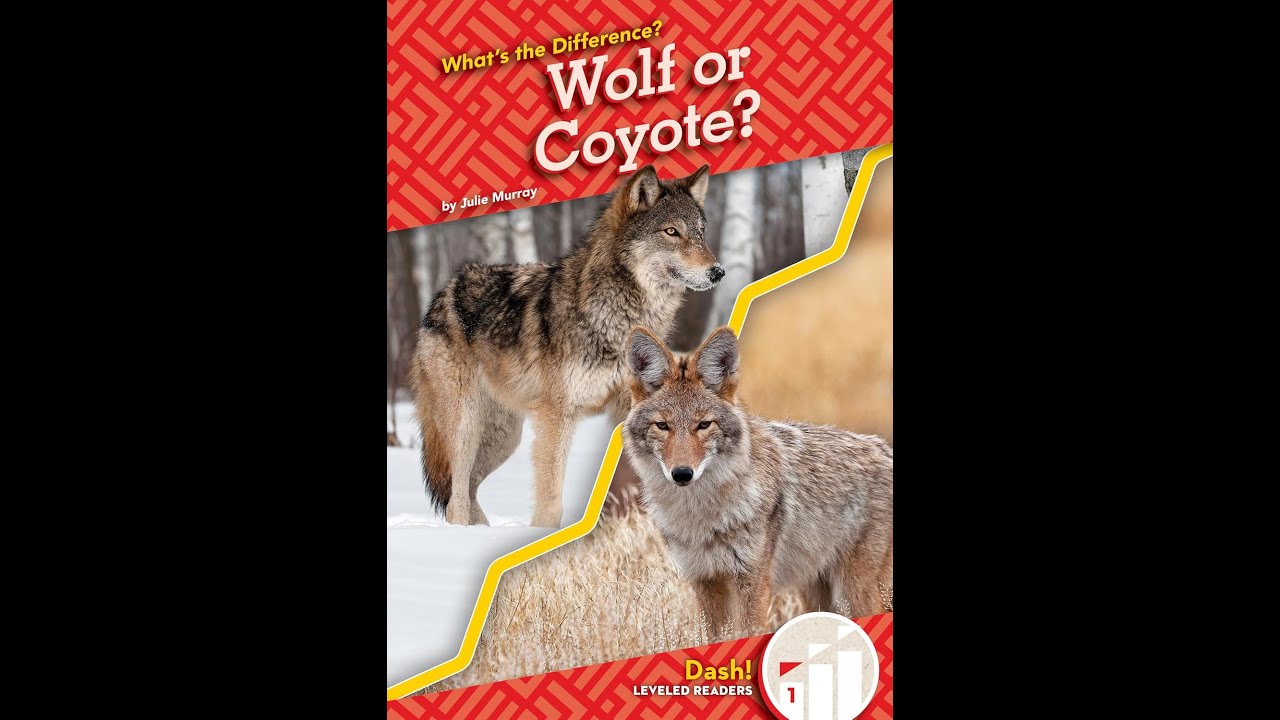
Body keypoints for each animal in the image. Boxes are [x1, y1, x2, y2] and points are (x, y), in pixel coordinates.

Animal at [412, 165, 722, 527]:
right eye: (671, 232)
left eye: (701, 233)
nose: (718, 272)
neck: (617, 319)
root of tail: (443, 291)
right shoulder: (556, 415)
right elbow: (550, 500)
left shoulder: (625, 412)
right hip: (465, 427)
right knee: (456, 497)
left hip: (504, 438)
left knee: (469, 490)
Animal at [622, 326, 893, 635]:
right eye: (662, 426)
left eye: (704, 425)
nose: (681, 473)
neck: (700, 516)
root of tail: (886, 450)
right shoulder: (705, 582)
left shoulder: (751, 582)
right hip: (818, 594)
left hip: (855, 591)